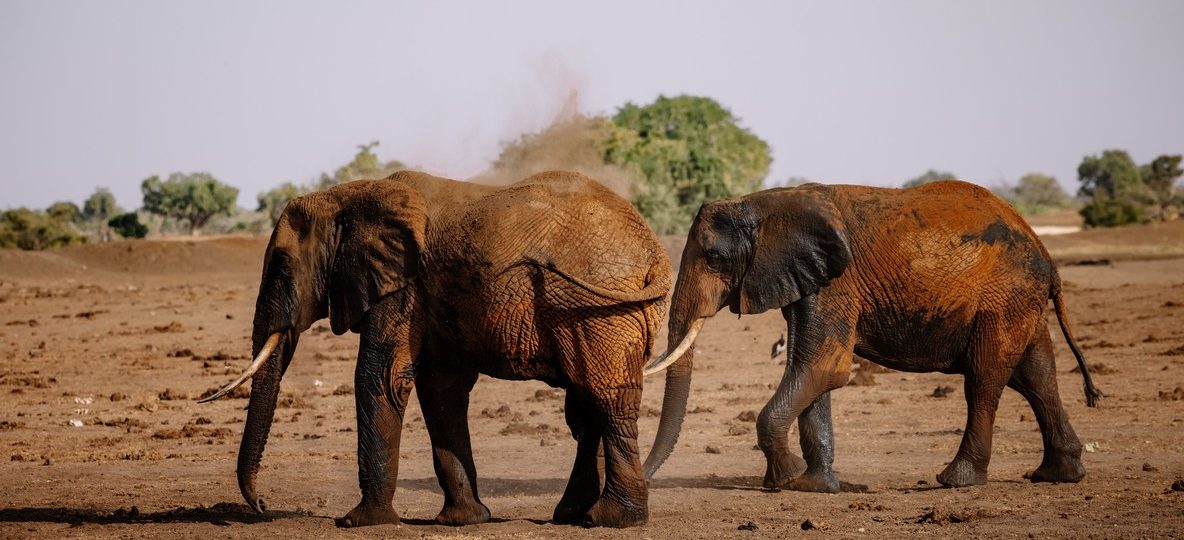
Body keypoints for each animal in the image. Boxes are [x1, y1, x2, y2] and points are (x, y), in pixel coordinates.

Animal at [199, 170, 671, 528]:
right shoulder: (429, 295)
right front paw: (463, 521)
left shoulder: (403, 287)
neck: (350, 195)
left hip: (599, 311)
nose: (262, 506)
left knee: (606, 401)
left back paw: (612, 520)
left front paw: (358, 522)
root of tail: (655, 253)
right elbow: (441, 391)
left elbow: (380, 377)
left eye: (281, 264)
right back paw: (572, 516)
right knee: (586, 406)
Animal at [640, 180, 1102, 492]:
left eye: (714, 257)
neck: (763, 203)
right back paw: (1058, 475)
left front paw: (784, 480)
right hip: (1020, 302)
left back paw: (956, 480)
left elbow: (822, 368)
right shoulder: (810, 280)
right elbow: (814, 373)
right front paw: (816, 486)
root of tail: (1047, 256)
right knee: (1038, 376)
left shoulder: (835, 283)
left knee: (984, 381)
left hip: (1003, 300)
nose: (643, 479)